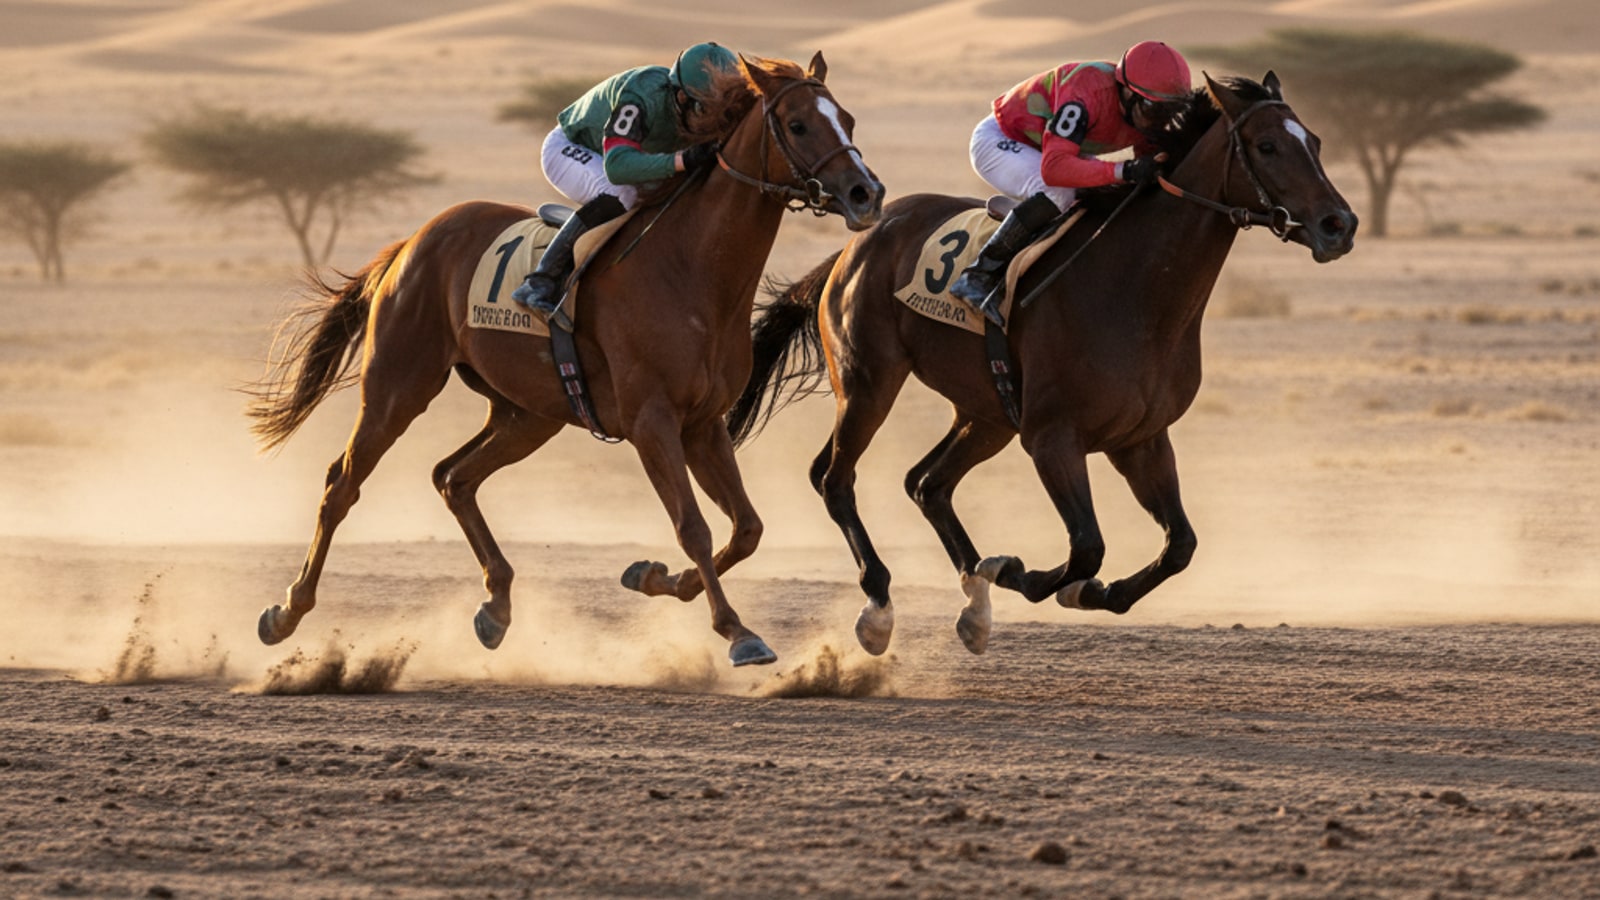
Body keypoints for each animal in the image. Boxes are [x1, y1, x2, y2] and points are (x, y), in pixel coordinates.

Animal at [248, 53, 883, 667]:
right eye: (798, 125)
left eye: (849, 120)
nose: (866, 193)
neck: (693, 272)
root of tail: (413, 242)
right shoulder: (652, 423)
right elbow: (694, 528)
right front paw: (737, 632)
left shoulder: (703, 426)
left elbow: (746, 528)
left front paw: (654, 577)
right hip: (397, 385)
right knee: (342, 484)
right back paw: (287, 611)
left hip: (529, 413)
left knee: (453, 477)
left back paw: (496, 605)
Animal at [727, 73, 1356, 655]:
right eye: (1268, 146)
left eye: (1316, 141)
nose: (1339, 225)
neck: (1137, 291)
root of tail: (856, 244)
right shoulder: (1053, 438)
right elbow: (1087, 546)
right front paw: (1025, 574)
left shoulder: (1141, 439)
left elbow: (1179, 545)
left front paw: (1093, 591)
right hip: (869, 381)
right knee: (835, 478)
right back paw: (880, 607)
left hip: (988, 413)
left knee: (927, 483)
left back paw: (975, 605)